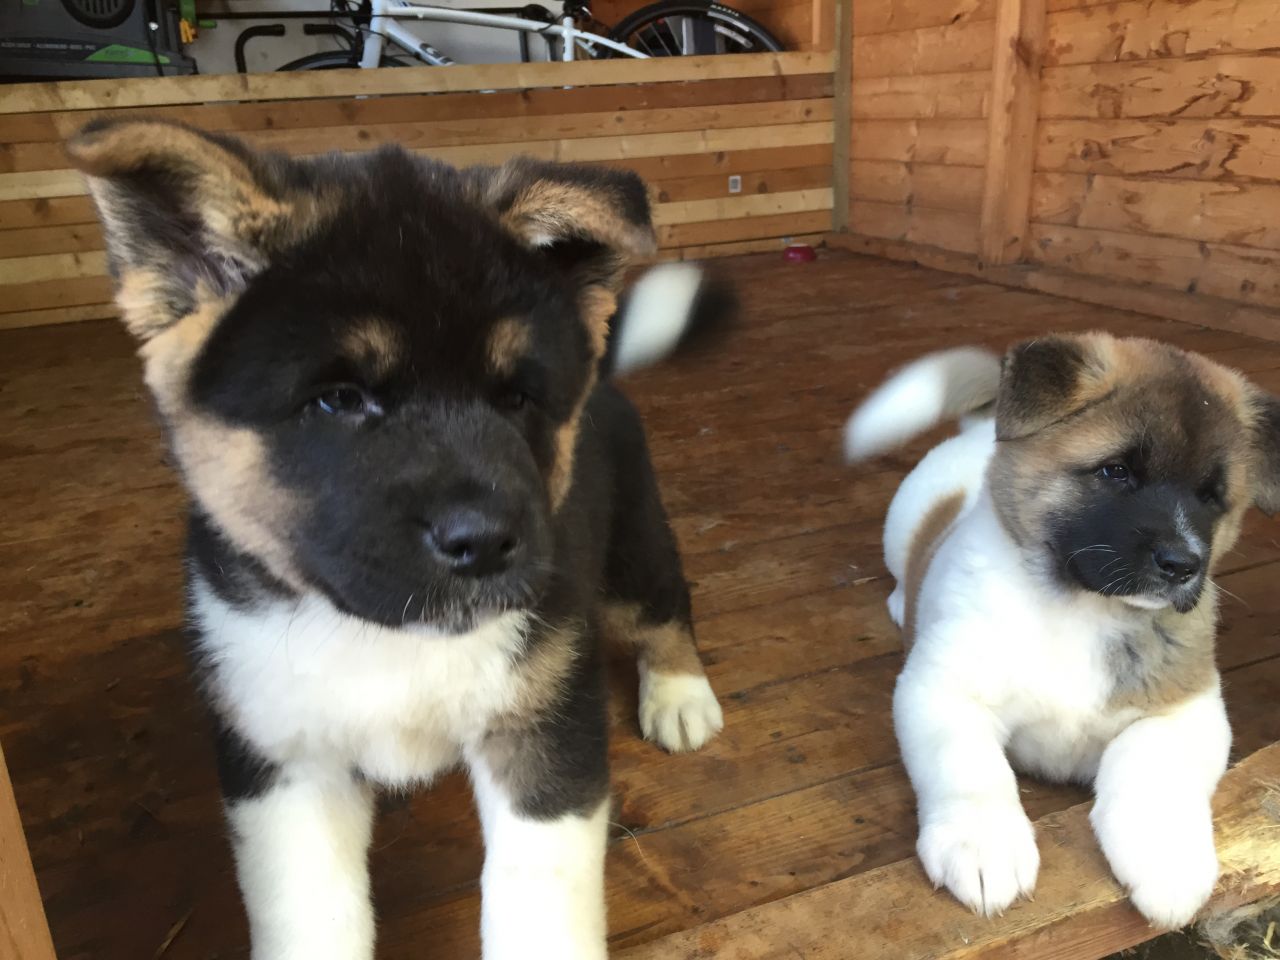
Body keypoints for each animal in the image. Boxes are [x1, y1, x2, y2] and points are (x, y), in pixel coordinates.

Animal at [67, 118, 732, 960]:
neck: (383, 636)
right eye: (338, 399)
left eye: (516, 398)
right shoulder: (283, 768)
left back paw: (680, 695)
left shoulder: (544, 739)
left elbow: (539, 909)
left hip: (628, 550)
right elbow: (311, 920)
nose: (485, 544)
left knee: (664, 605)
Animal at [849, 335, 1280, 931]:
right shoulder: (942, 690)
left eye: (1211, 495)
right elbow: (969, 768)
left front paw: (1167, 863)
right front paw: (983, 847)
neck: (1083, 609)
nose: (1182, 565)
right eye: (1116, 472)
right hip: (903, 522)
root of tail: (982, 426)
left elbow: (1152, 773)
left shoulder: (1184, 711)